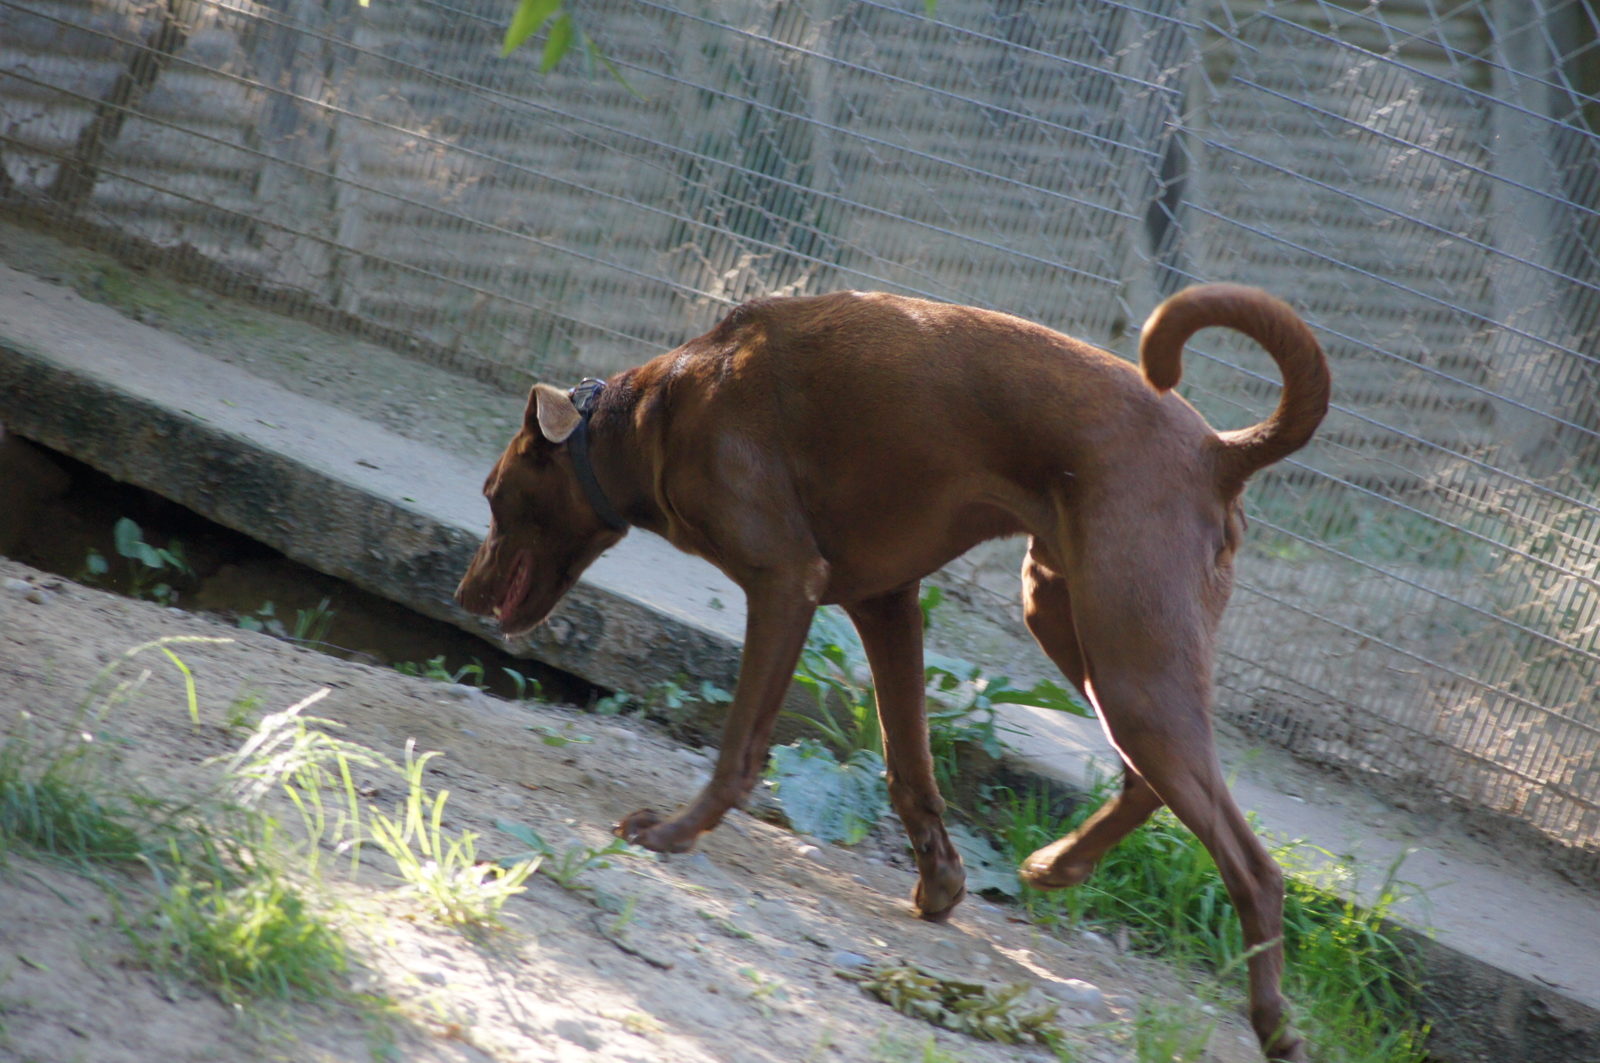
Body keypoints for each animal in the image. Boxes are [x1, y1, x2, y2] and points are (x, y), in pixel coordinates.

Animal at [456, 284, 1329, 1062]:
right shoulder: (886, 604)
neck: (658, 412)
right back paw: (1058, 863)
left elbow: (739, 747)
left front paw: (674, 832)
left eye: (494, 495)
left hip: (1128, 660)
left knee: (1255, 869)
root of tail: (1219, 450)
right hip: (1072, 620)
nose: (462, 594)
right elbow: (909, 766)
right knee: (1147, 780)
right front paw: (941, 884)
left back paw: (1274, 1025)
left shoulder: (785, 582)